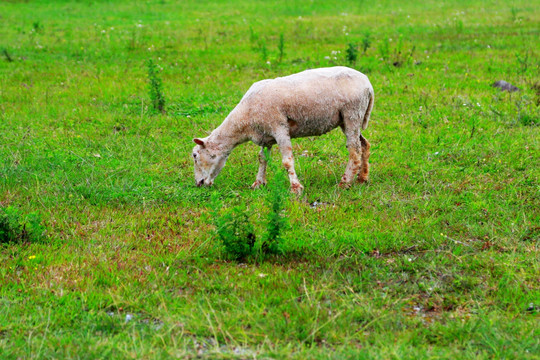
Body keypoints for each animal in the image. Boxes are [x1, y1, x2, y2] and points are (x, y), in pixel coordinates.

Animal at [192, 65, 374, 194]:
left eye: (195, 156)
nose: (198, 184)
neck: (244, 120)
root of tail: (368, 83)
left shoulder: (279, 128)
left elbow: (287, 161)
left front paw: (296, 188)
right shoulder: (265, 135)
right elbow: (262, 159)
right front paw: (258, 183)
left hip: (352, 113)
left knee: (354, 150)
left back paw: (345, 183)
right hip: (348, 119)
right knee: (364, 144)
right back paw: (362, 178)